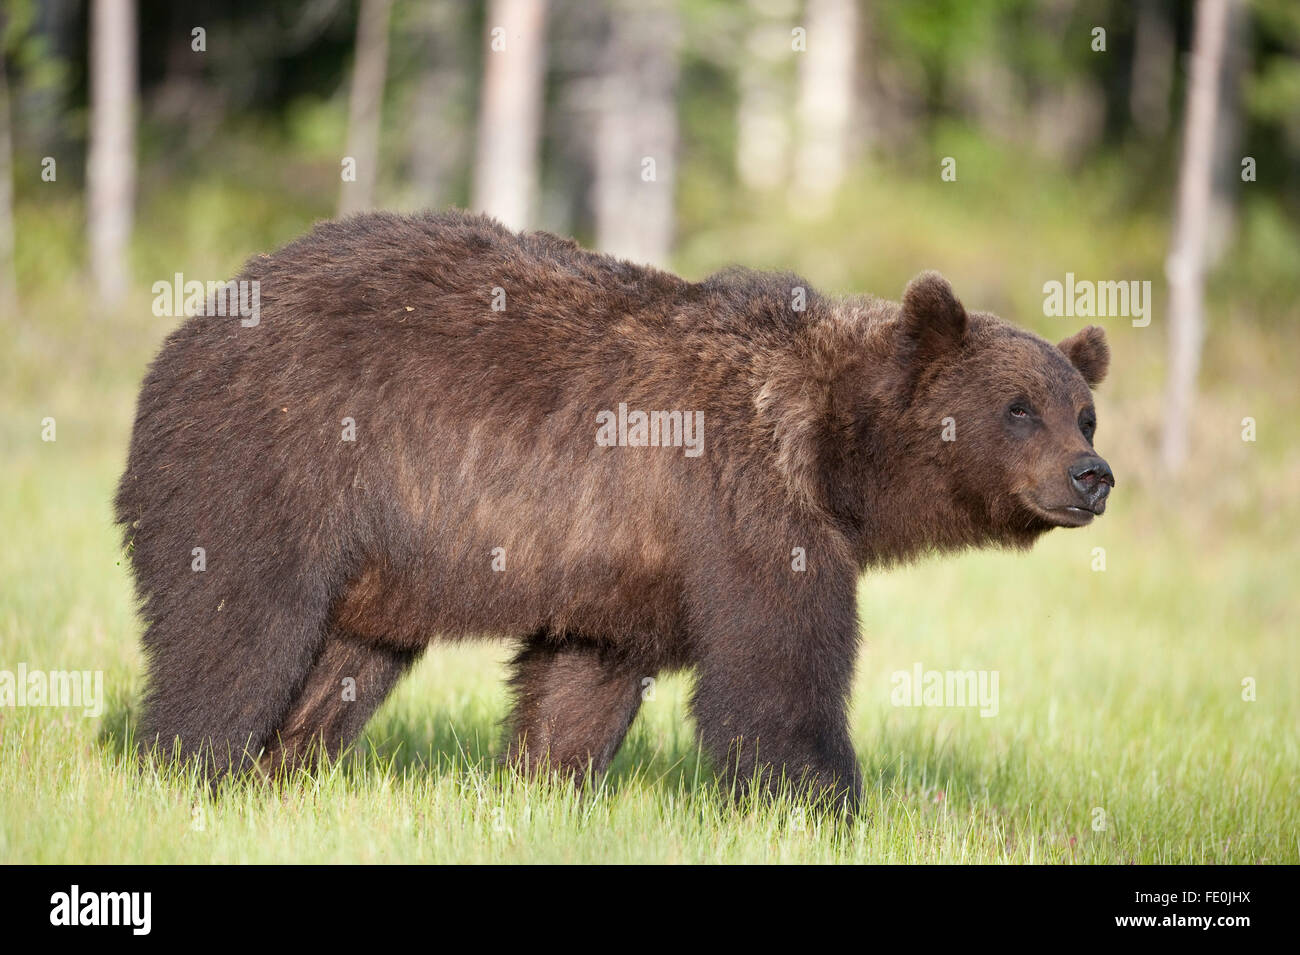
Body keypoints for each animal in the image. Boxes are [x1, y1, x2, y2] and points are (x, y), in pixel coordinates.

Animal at [114, 209, 1107, 805]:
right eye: (1019, 407)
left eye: (1083, 408)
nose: (1092, 474)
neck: (833, 451)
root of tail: (192, 327)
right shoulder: (743, 506)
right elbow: (776, 676)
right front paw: (829, 802)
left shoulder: (624, 565)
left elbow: (580, 682)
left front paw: (540, 781)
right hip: (275, 465)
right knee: (238, 633)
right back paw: (184, 763)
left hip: (375, 562)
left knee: (341, 667)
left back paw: (280, 769)